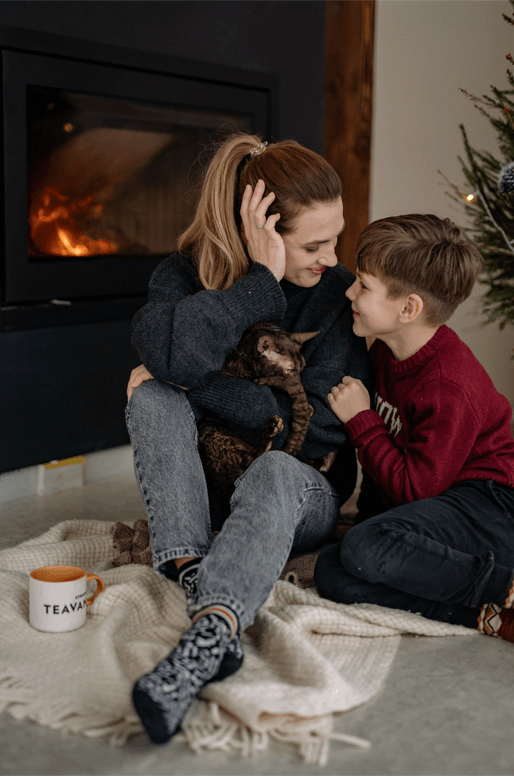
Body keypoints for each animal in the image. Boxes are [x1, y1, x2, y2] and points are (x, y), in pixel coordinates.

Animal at [197, 324, 336, 494]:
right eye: (288, 370)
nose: (297, 381)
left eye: (302, 367)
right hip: (213, 434)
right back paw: (271, 429)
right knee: (255, 459)